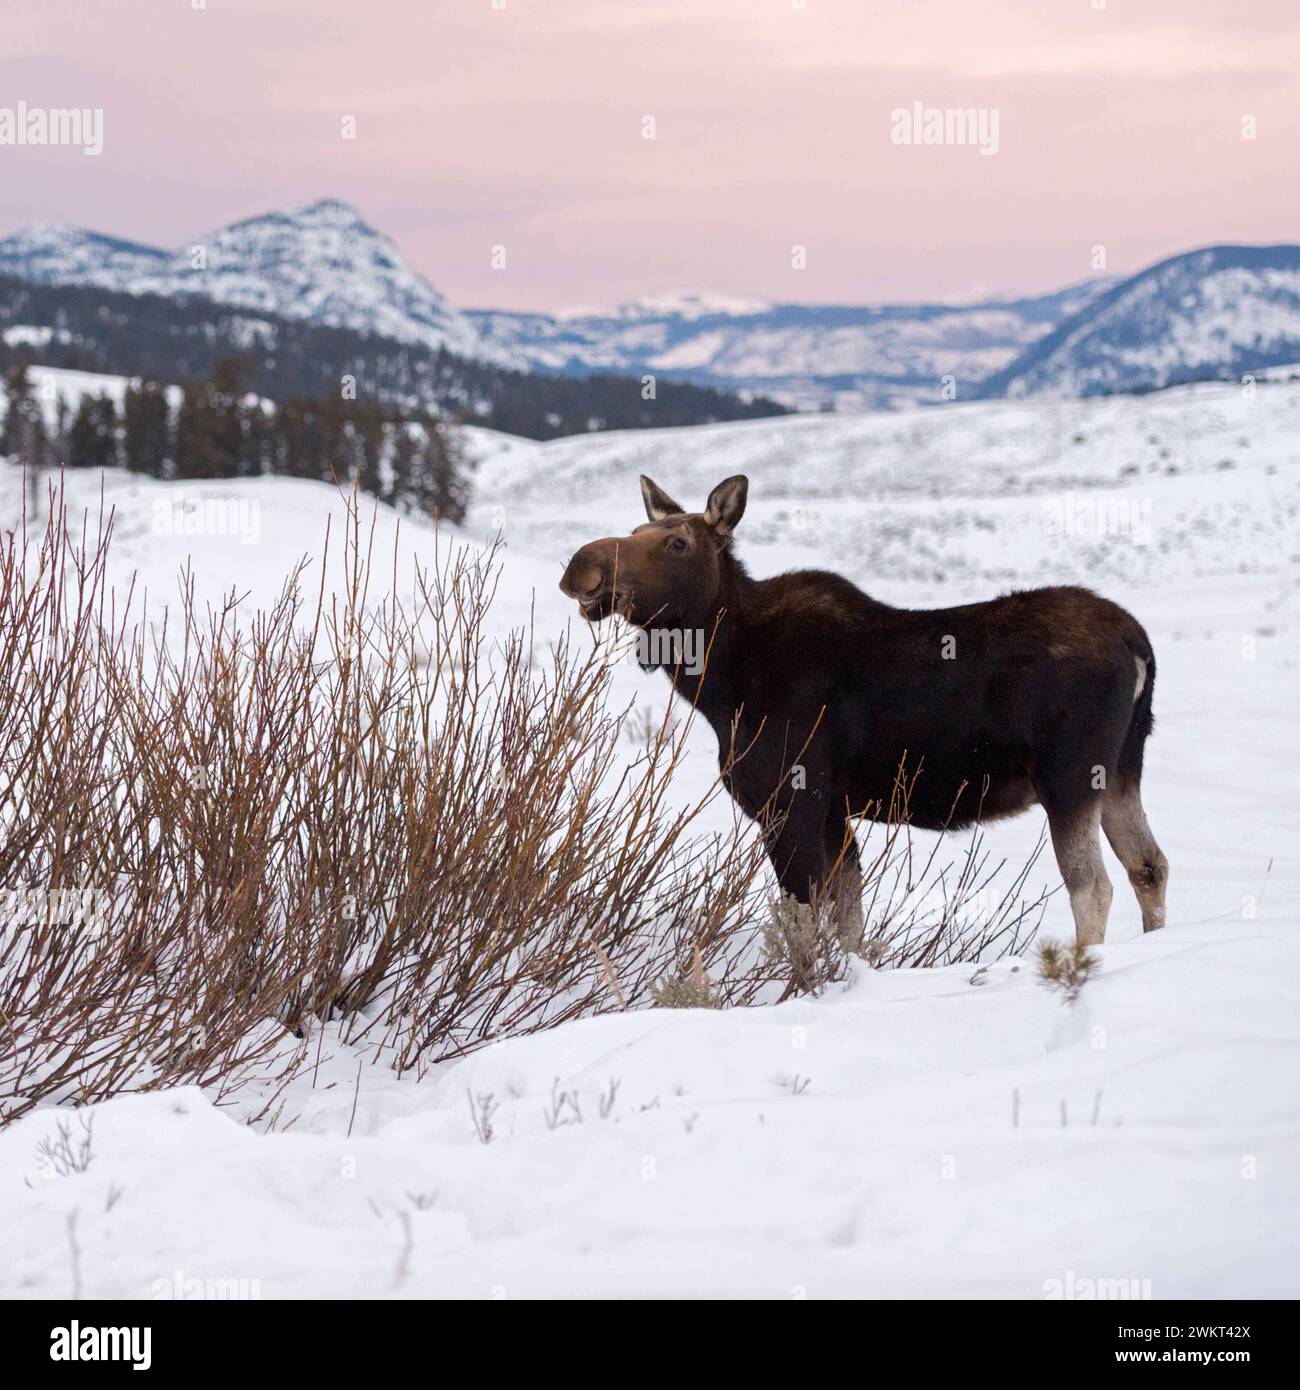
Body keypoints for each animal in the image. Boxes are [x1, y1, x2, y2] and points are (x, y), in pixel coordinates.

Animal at [558, 475, 1167, 945]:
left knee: (1093, 887)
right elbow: (849, 921)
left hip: (1069, 777)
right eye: (637, 531)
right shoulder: (833, 810)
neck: (717, 682)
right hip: (1122, 770)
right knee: (1149, 867)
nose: (580, 567)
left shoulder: (792, 800)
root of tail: (1139, 645)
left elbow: (804, 925)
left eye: (678, 543)